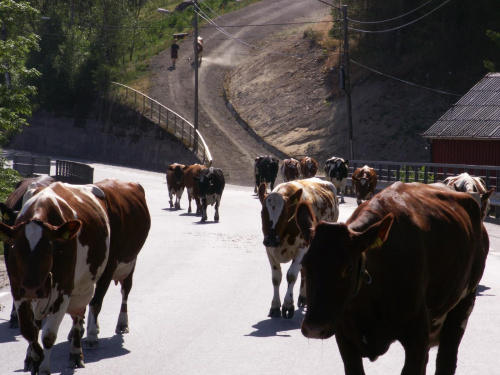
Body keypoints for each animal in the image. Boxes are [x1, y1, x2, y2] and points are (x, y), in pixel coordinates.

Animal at [0, 181, 110, 374]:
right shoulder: (18, 290)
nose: (31, 288)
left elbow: (49, 336)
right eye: (16, 249)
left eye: (50, 250)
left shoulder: (64, 292)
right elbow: (29, 331)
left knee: (78, 316)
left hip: (84, 289)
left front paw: (43, 367)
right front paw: (34, 358)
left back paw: (75, 353)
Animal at [296, 181, 488, 374]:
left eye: (348, 267)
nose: (314, 328)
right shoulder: (344, 337)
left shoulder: (418, 335)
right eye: (304, 264)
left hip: (464, 302)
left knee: (447, 359)